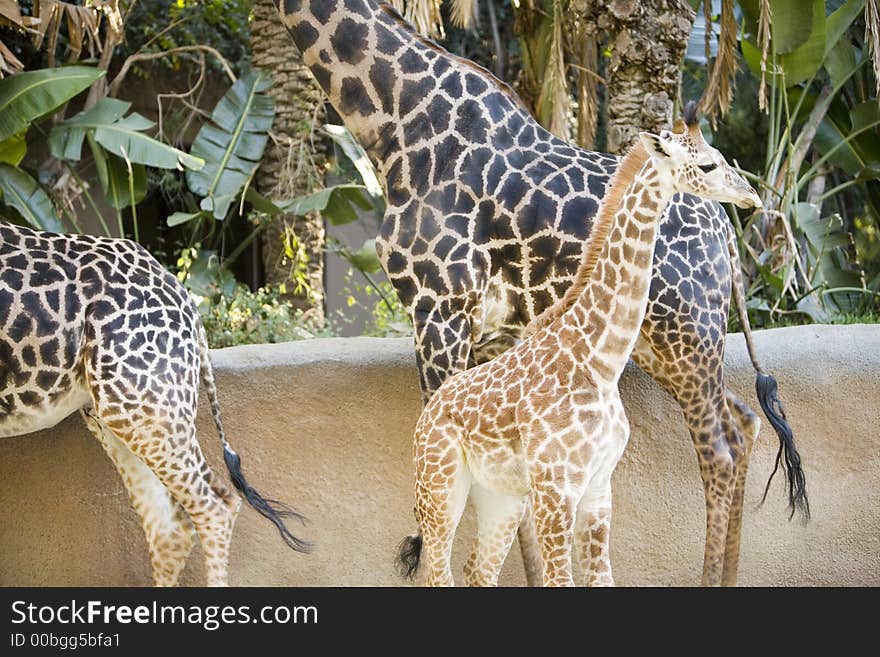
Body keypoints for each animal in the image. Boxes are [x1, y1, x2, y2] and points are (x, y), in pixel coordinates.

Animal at [396, 105, 760, 588]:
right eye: (706, 165)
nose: (751, 196)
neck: (599, 361)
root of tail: (429, 411)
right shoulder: (557, 488)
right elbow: (559, 579)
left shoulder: (599, 486)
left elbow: (602, 579)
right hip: (440, 486)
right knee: (437, 570)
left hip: (500, 496)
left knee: (478, 570)